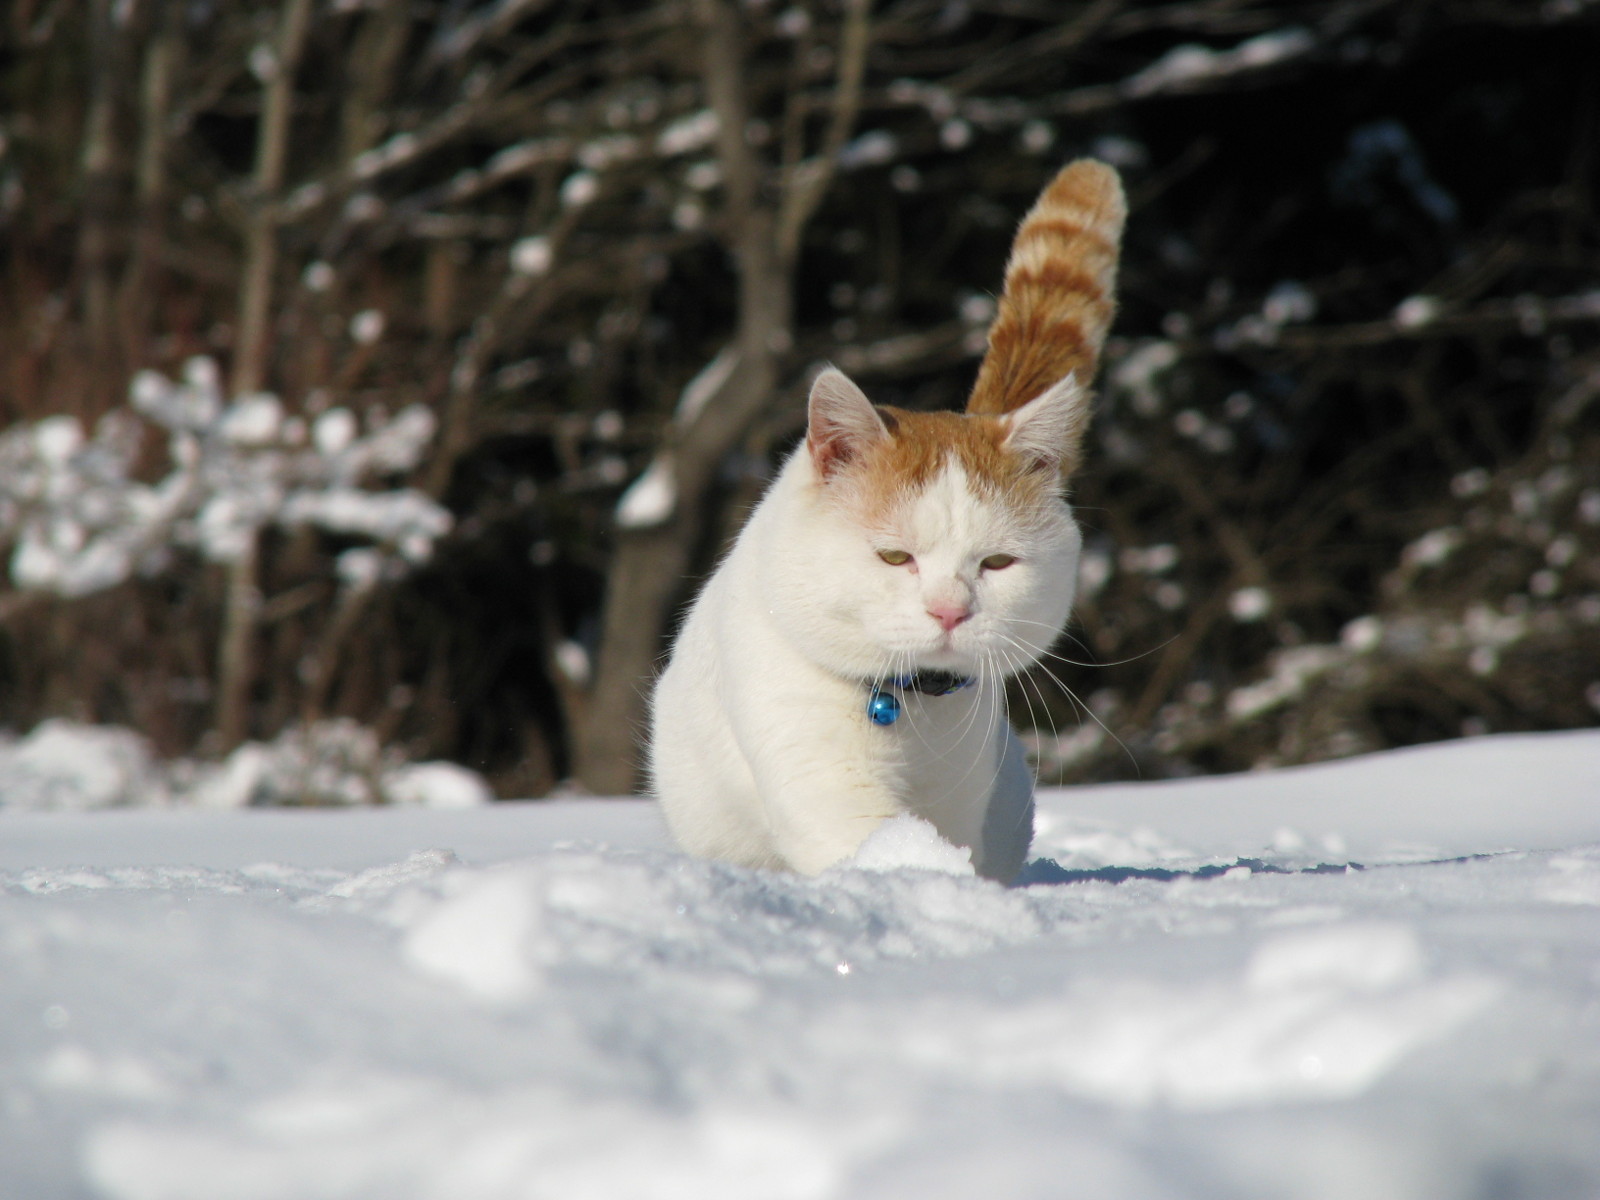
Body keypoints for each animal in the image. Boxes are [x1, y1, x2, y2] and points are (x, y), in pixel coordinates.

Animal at [649, 160, 1126, 883]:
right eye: (895, 557)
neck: (912, 710)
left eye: (996, 563)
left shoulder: (964, 792)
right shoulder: (816, 772)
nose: (949, 611)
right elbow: (876, 849)